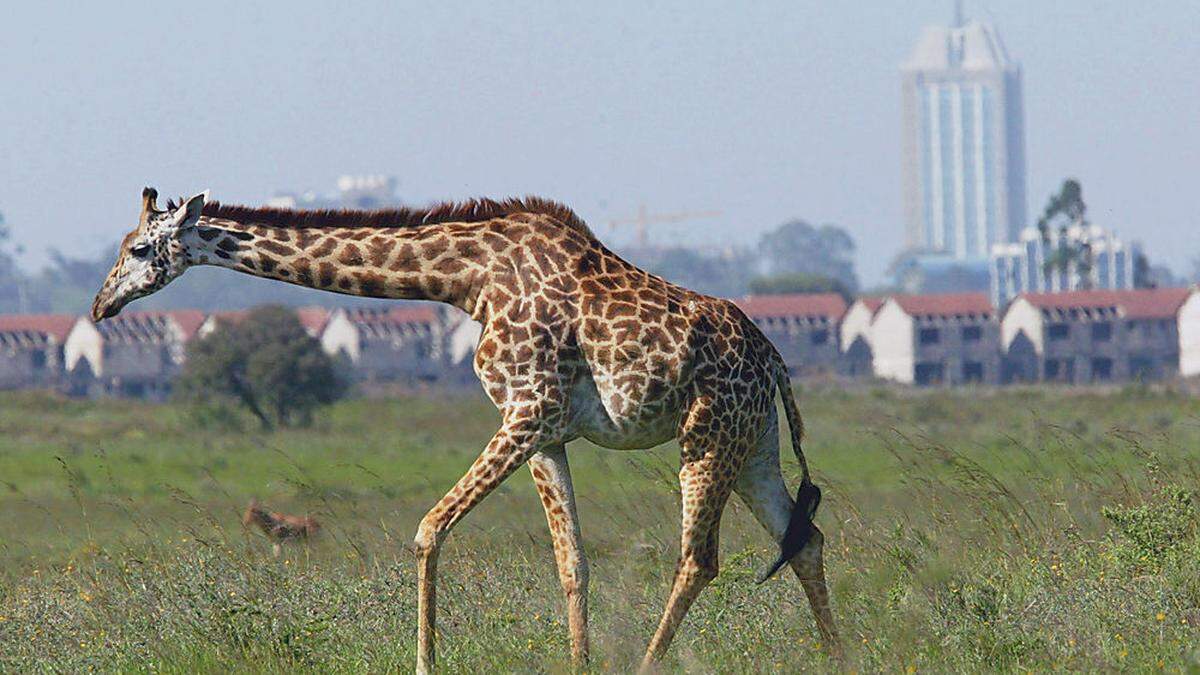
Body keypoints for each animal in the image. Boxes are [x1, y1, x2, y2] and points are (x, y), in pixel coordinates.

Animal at [93, 186, 840, 667]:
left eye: (139, 249)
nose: (101, 305)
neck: (467, 279)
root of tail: (773, 357)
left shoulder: (527, 410)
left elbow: (429, 529)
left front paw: (425, 662)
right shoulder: (546, 431)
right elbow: (572, 562)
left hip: (706, 437)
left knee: (699, 557)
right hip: (754, 445)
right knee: (804, 539)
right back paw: (838, 655)